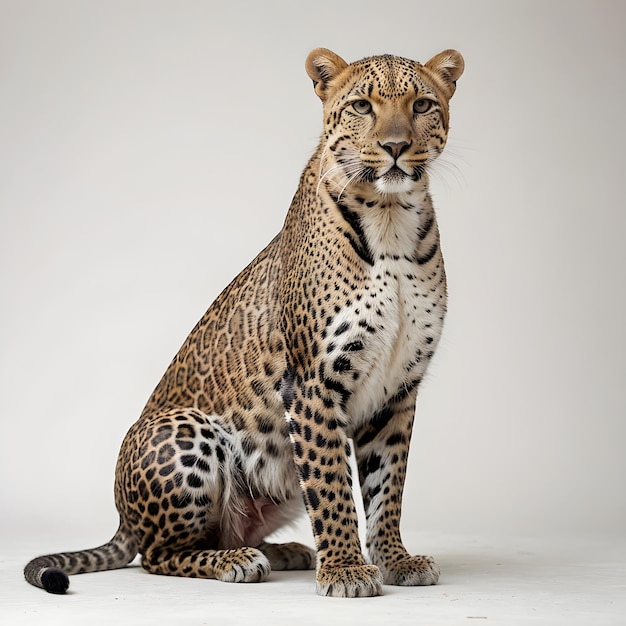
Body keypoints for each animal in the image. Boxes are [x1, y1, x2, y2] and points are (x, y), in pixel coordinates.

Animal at [23, 47, 464, 596]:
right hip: (186, 429)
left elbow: (388, 489)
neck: (392, 219)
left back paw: (282, 551)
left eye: (422, 104)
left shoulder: (398, 390)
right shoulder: (314, 382)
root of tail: (123, 519)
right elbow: (333, 485)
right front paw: (345, 569)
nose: (396, 146)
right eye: (362, 106)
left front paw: (395, 560)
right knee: (158, 555)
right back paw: (237, 561)